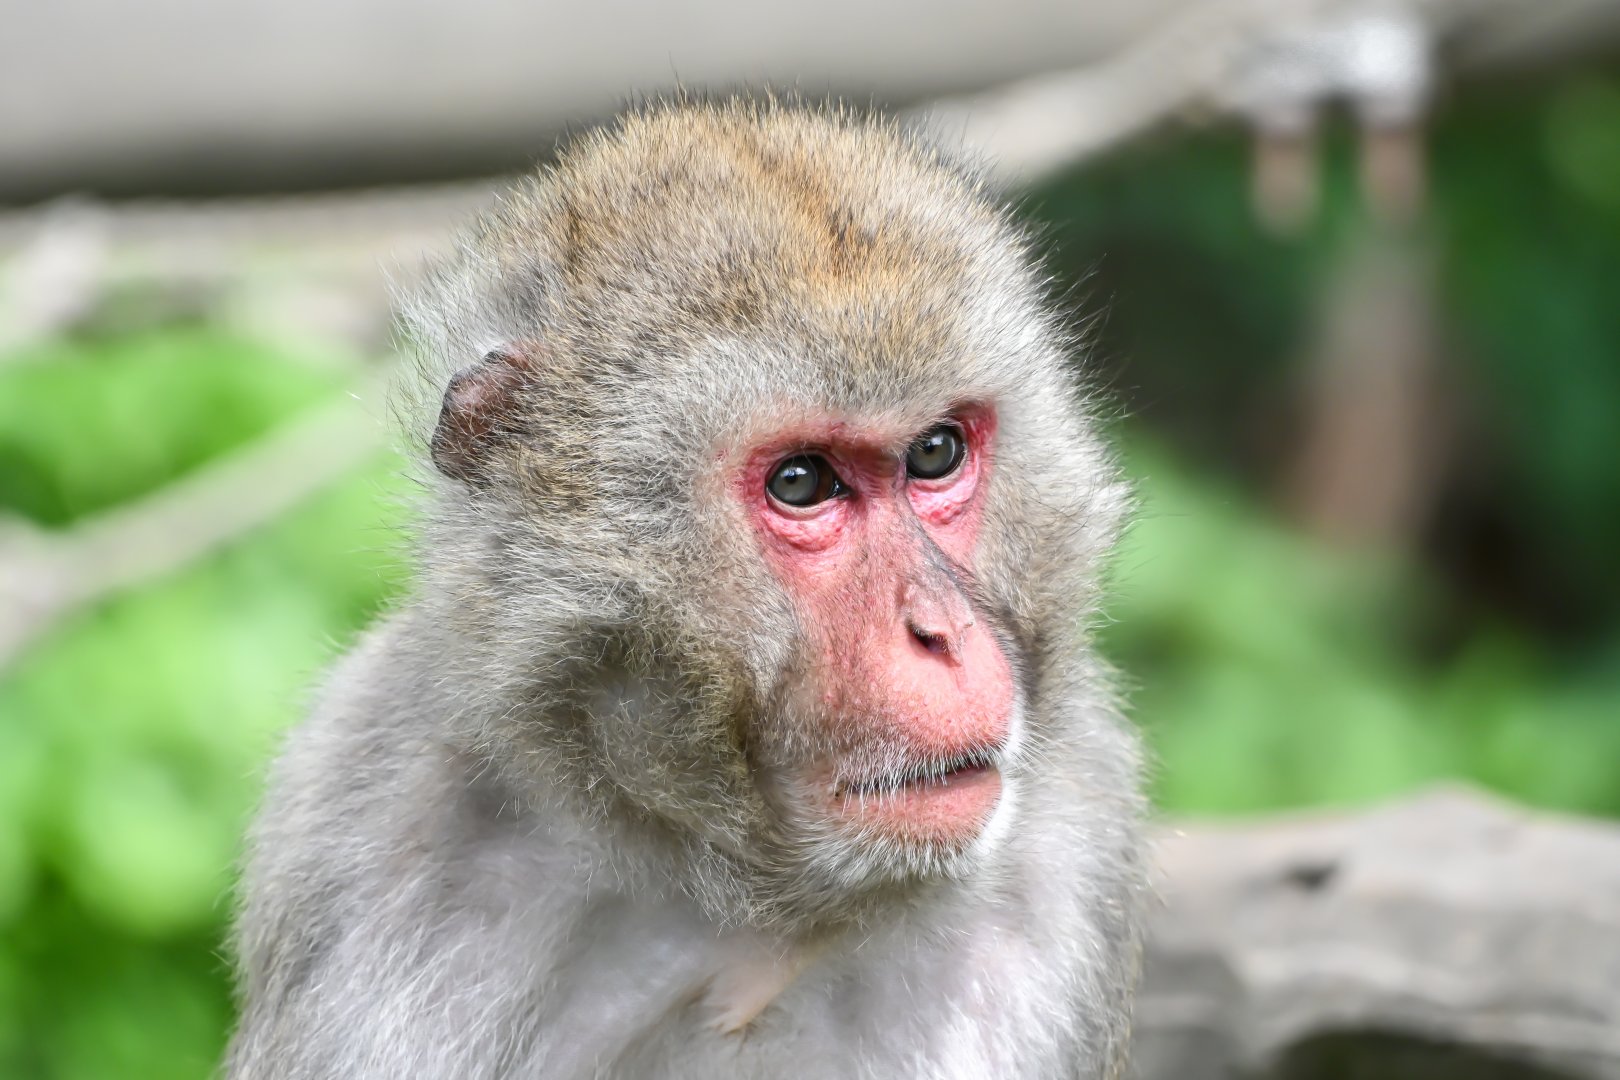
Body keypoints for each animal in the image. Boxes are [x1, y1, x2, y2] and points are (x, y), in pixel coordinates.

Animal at [226, 96, 1145, 1080]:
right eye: (802, 483)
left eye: (935, 452)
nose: (940, 632)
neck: (743, 896)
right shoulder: (376, 830)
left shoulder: (1070, 852)